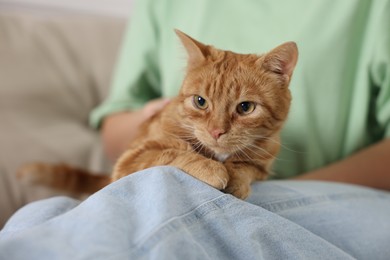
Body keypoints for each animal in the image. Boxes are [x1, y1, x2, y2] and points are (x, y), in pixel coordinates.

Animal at [17, 30, 298, 199]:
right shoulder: (132, 159)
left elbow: (244, 166)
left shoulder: (263, 163)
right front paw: (212, 168)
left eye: (245, 108)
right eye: (200, 102)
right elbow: (176, 153)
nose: (216, 131)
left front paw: (236, 179)